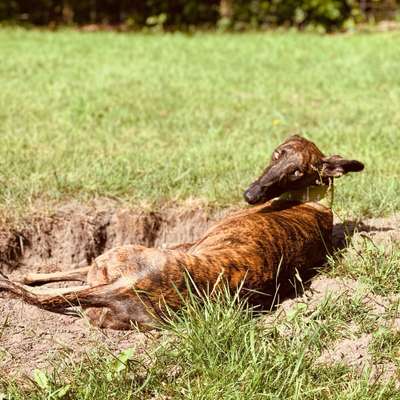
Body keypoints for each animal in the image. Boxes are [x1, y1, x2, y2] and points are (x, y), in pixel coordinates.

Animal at [0, 136, 364, 330]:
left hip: (119, 254)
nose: (251, 195)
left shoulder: (187, 240)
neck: (312, 200)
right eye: (276, 155)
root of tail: (129, 288)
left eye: (296, 172)